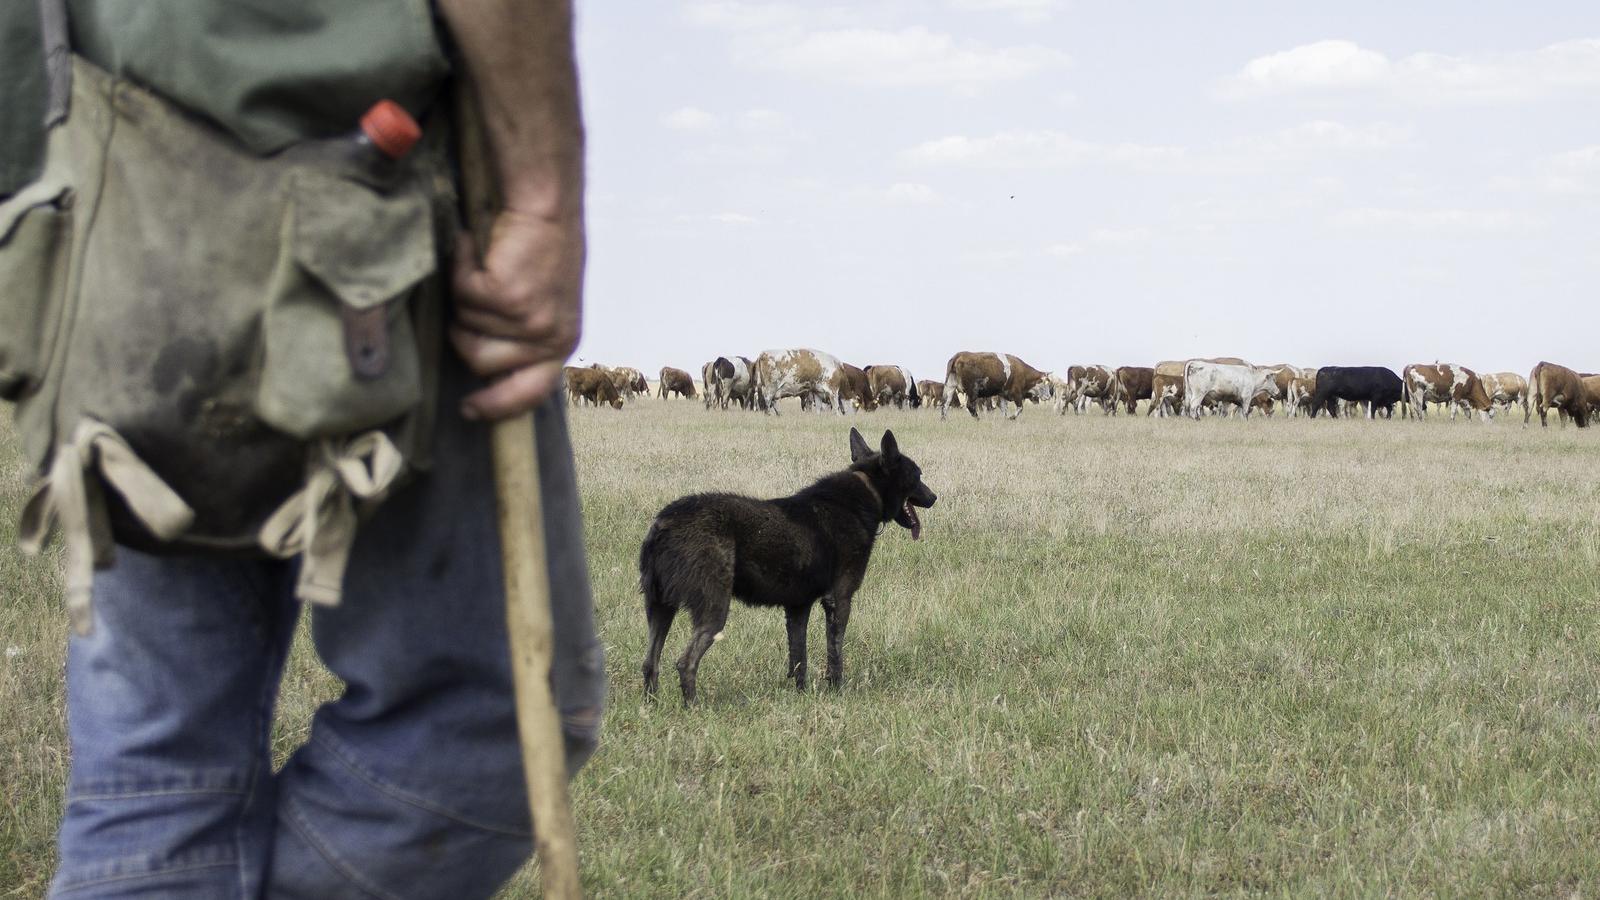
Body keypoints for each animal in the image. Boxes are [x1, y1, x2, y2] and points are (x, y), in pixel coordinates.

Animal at [640, 425, 934, 701]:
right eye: (918, 475)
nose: (934, 497)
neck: (867, 491)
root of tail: (664, 524)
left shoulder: (797, 607)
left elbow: (798, 658)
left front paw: (801, 694)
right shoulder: (839, 598)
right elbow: (835, 654)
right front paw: (837, 690)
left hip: (659, 608)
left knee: (649, 663)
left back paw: (651, 706)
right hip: (713, 610)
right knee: (685, 662)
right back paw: (693, 707)